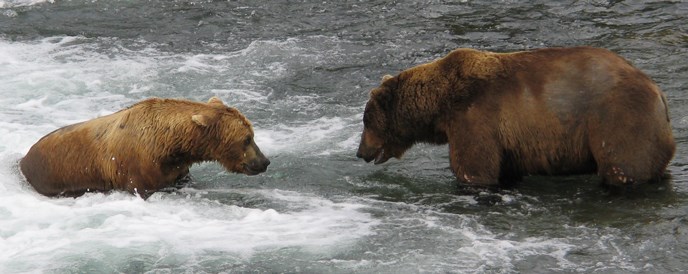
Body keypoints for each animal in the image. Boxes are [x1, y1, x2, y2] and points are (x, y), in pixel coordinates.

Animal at [358, 46, 676, 189]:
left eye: (366, 121)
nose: (360, 152)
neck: (440, 105)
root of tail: (658, 91)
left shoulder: (475, 117)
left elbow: (474, 167)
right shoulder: (507, 141)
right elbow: (504, 169)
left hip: (618, 118)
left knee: (623, 165)